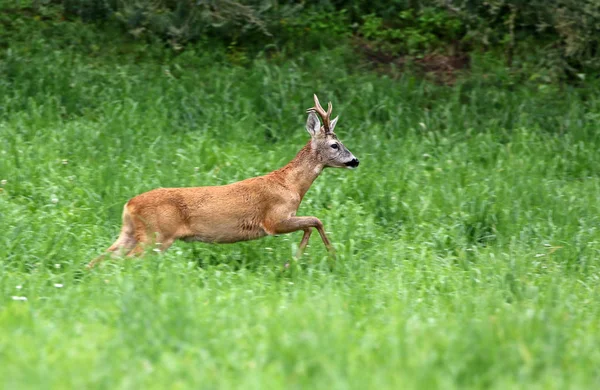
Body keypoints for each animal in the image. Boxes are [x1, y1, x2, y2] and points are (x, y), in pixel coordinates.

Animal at [86, 94, 358, 268]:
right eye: (335, 145)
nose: (355, 160)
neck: (291, 185)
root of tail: (129, 204)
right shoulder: (274, 219)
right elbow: (316, 221)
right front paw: (326, 256)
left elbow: (312, 224)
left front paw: (296, 260)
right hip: (157, 235)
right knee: (126, 261)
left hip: (131, 232)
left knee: (99, 260)